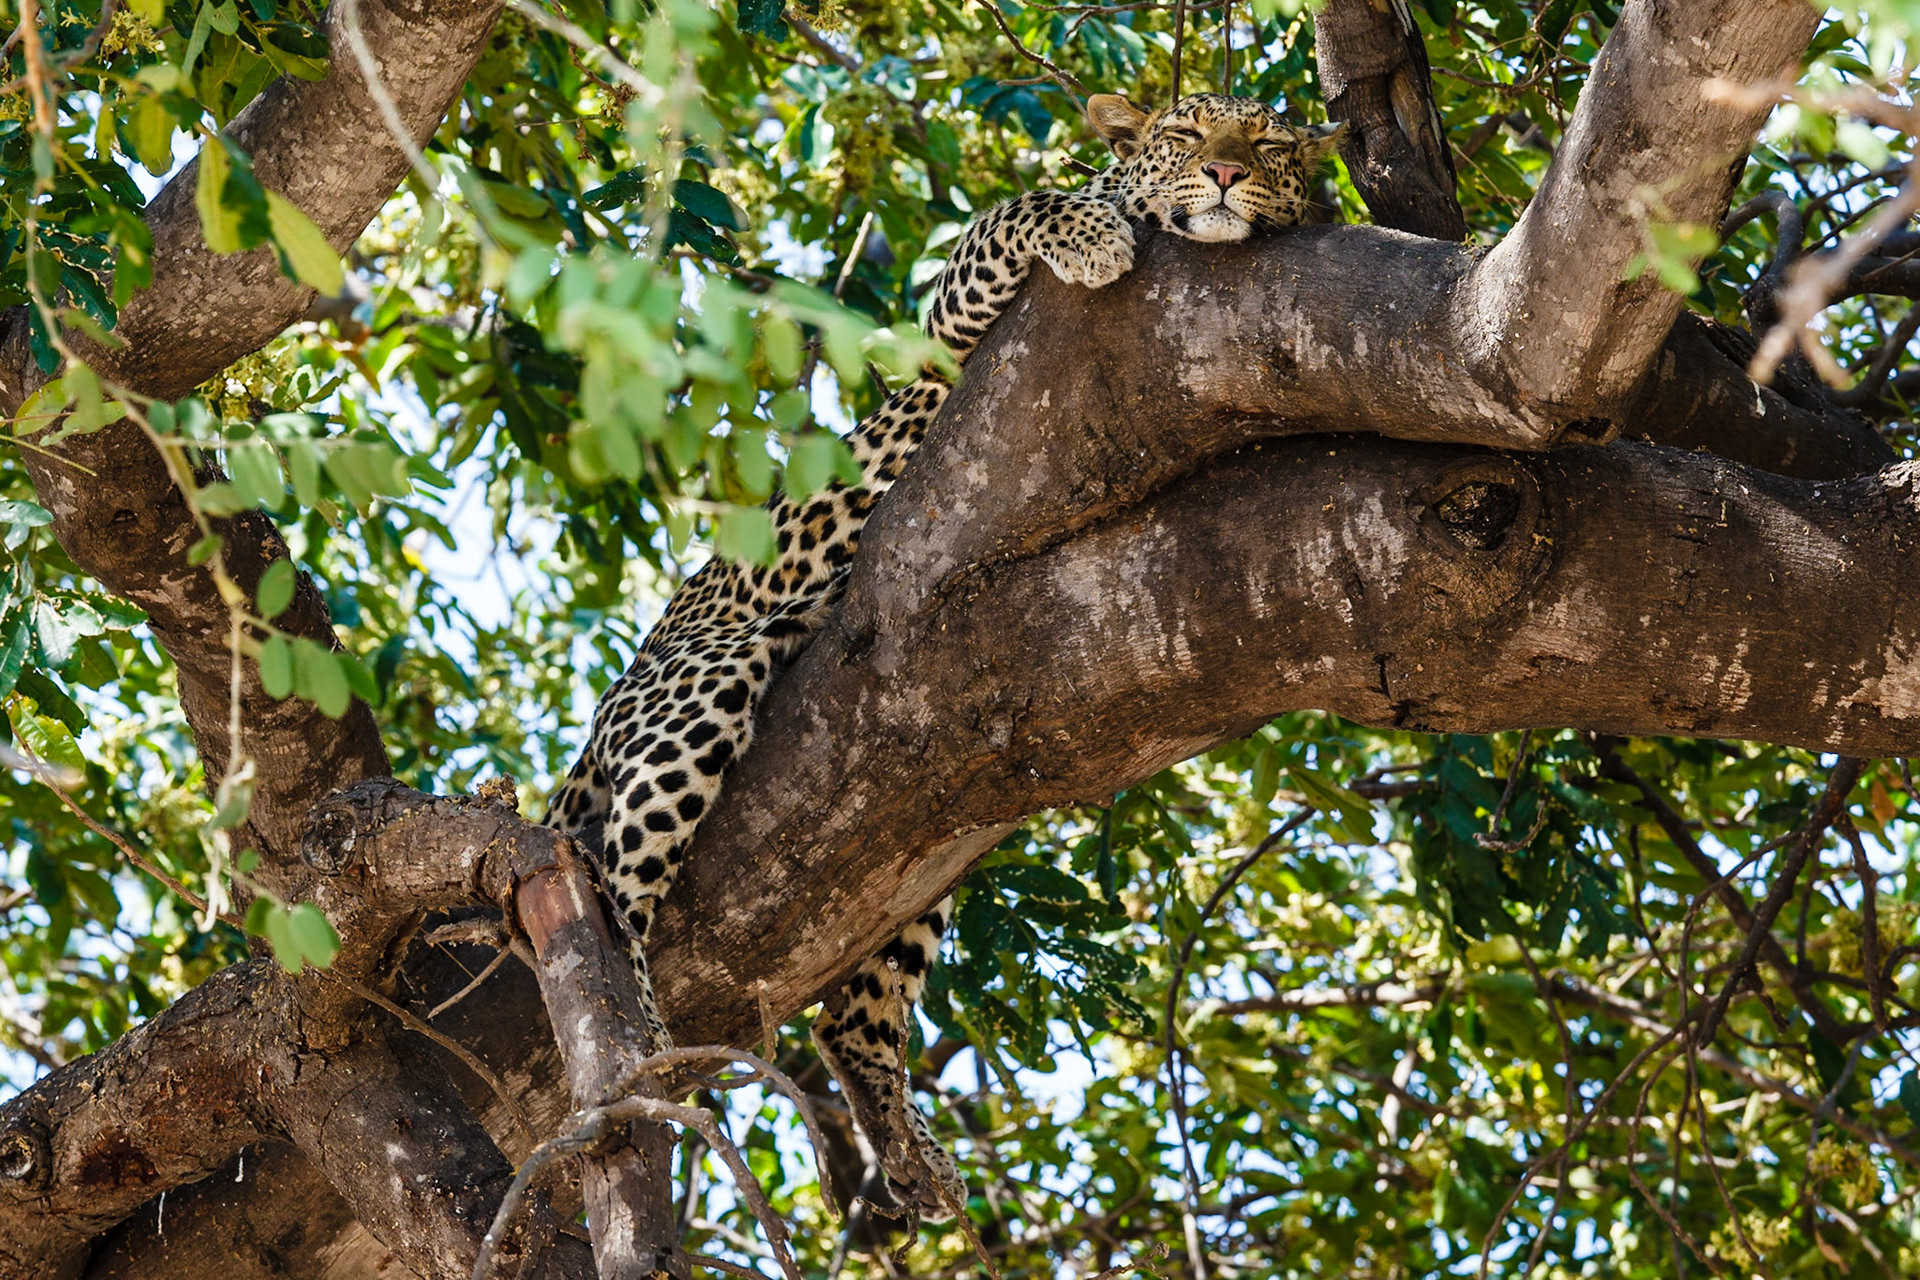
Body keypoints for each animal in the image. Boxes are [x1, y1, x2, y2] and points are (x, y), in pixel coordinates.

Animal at [541, 91, 1345, 1223]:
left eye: (1268, 145)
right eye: (1187, 138)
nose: (1229, 177)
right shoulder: (949, 324)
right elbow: (1019, 203)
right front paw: (1095, 236)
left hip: (913, 867)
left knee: (853, 1013)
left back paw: (907, 1144)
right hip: (696, 689)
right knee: (619, 898)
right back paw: (652, 1052)